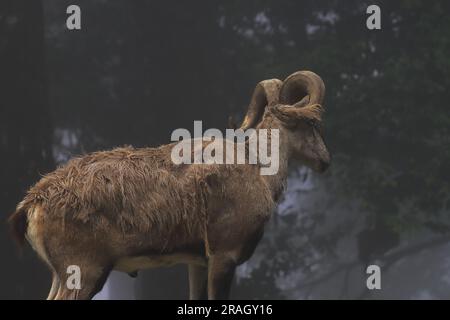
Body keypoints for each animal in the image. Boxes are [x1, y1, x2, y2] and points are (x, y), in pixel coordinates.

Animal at [8, 70, 328, 300]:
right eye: (311, 124)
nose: (325, 160)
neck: (257, 168)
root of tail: (32, 202)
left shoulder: (198, 263)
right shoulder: (224, 258)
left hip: (60, 276)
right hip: (83, 273)